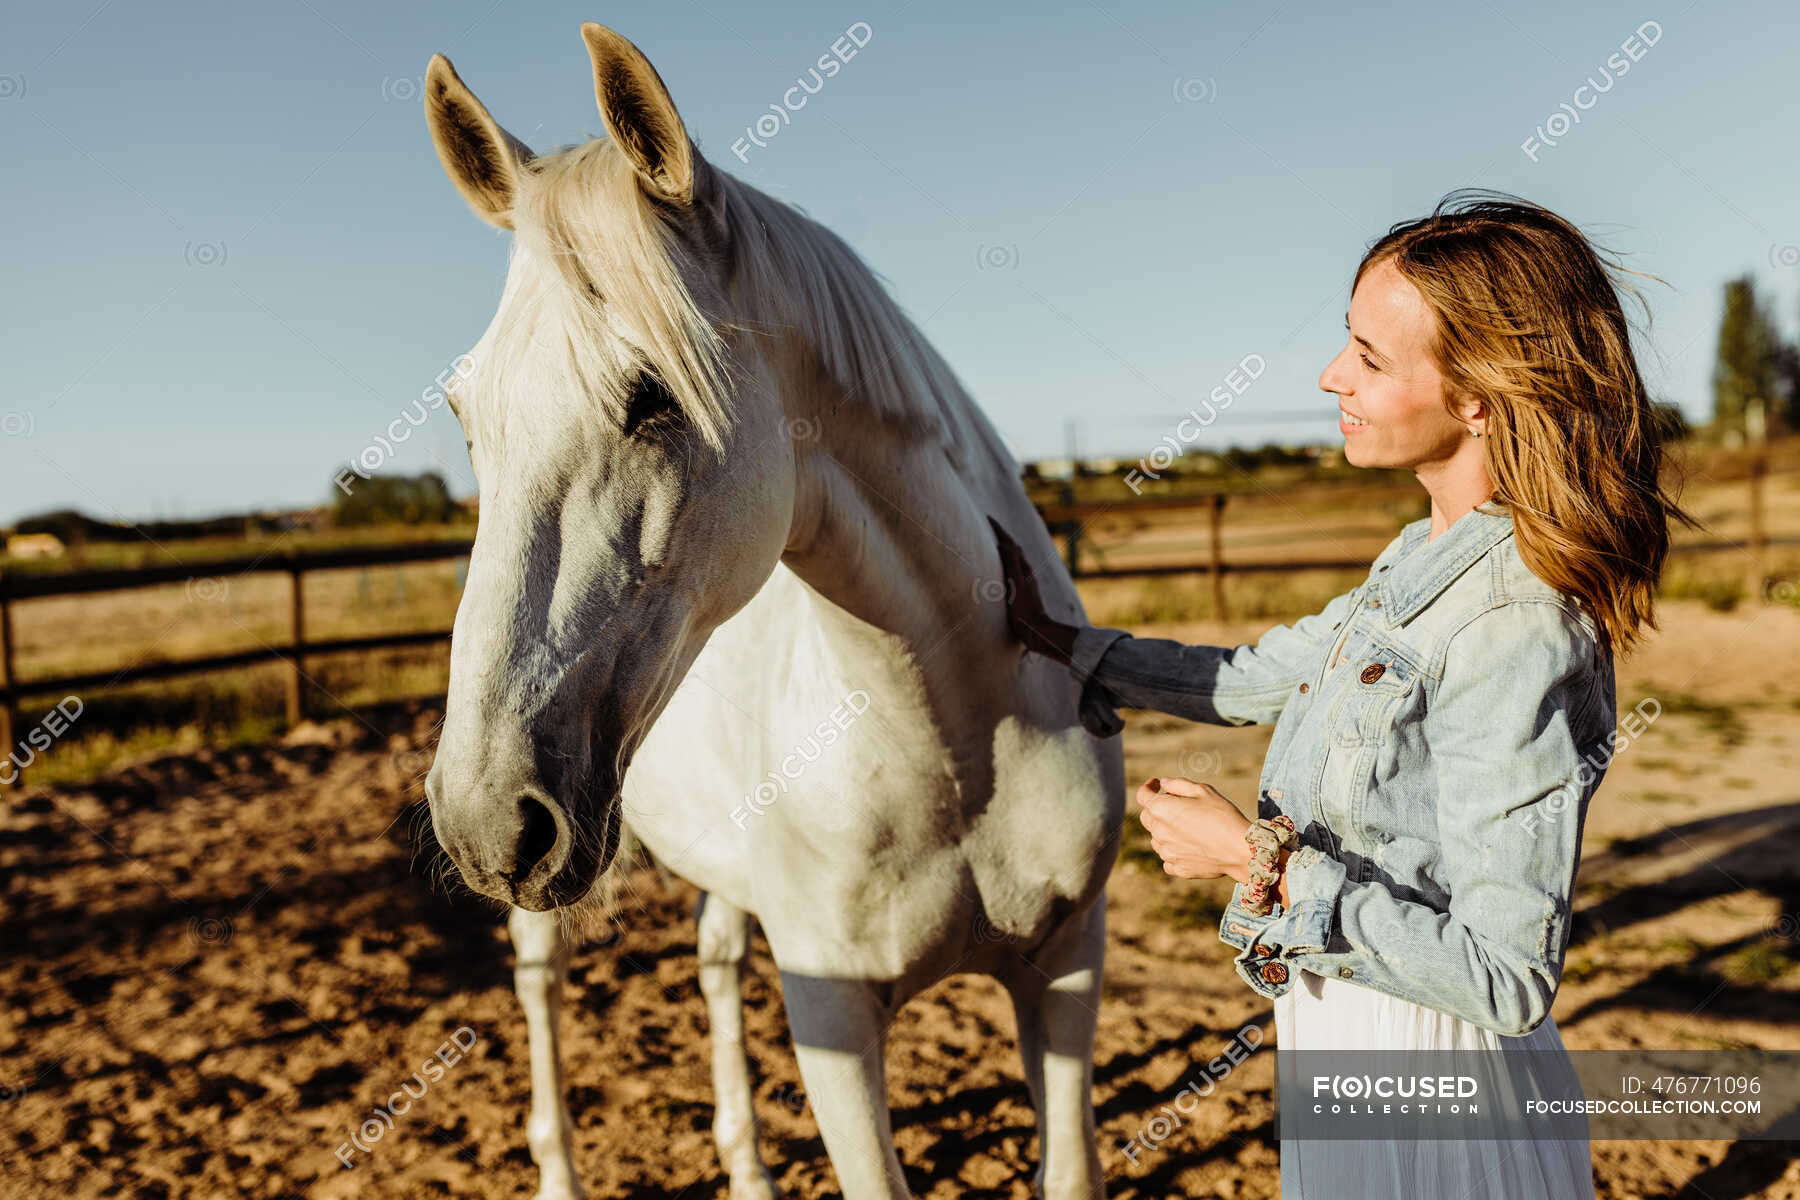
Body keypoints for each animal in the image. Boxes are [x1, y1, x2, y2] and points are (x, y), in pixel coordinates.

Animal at [423, 23, 1123, 1194]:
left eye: (653, 396)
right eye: (465, 414)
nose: (485, 822)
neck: (956, 732)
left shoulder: (1066, 967)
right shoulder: (833, 1019)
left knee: (712, 964)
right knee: (541, 987)